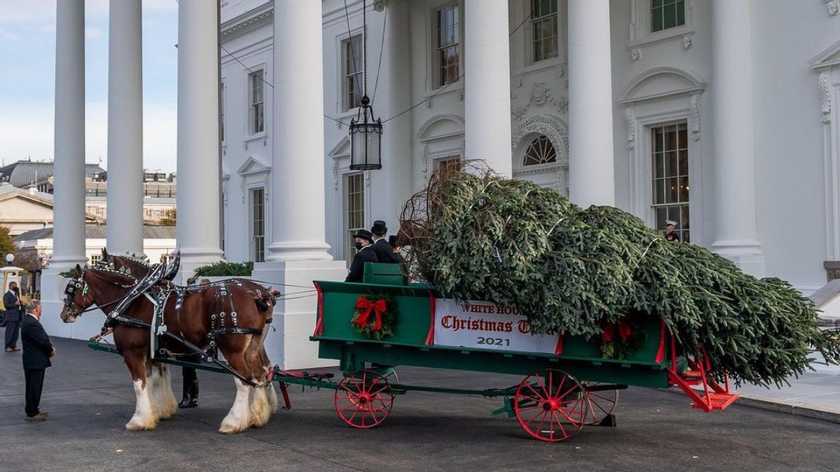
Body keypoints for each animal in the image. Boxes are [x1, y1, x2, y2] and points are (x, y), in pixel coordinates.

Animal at [63, 264, 278, 434]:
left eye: (71, 289)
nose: (64, 315)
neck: (132, 301)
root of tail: (259, 294)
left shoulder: (133, 352)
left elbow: (139, 384)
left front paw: (138, 420)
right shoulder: (152, 354)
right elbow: (154, 381)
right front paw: (159, 411)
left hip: (232, 349)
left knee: (244, 381)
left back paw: (233, 422)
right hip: (254, 346)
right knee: (260, 375)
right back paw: (258, 415)